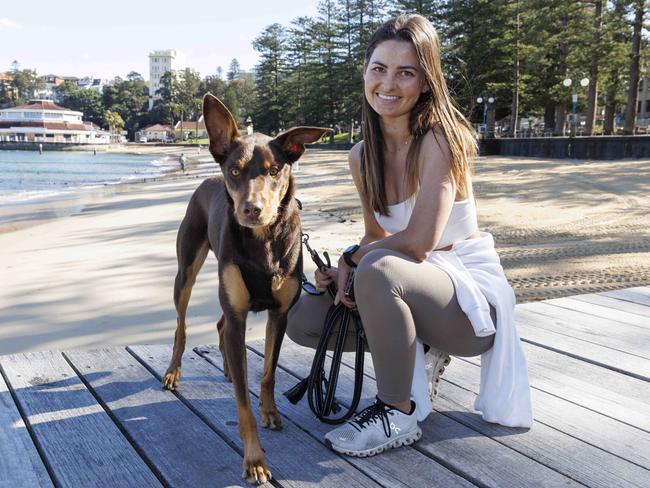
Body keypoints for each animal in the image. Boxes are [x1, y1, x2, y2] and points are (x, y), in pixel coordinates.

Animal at [160, 93, 326, 482]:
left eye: (275, 170)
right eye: (235, 171)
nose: (252, 209)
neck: (263, 241)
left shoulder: (279, 314)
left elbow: (267, 375)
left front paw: (270, 412)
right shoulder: (239, 314)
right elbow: (242, 402)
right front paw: (254, 460)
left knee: (219, 325)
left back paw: (225, 366)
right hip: (186, 271)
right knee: (182, 326)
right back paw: (175, 371)